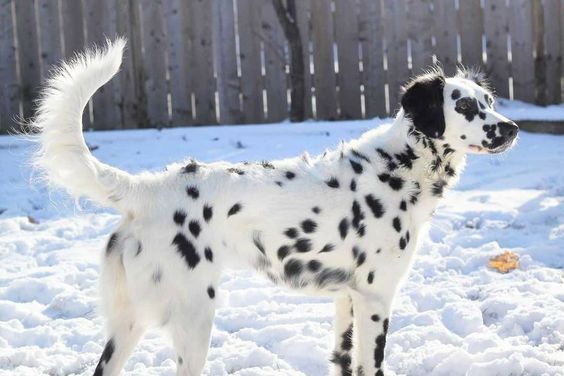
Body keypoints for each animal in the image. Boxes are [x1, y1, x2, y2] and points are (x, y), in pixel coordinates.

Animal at [29, 39, 516, 374]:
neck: (397, 166)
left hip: (129, 324)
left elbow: (343, 361)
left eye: (490, 102)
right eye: (465, 106)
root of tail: (147, 188)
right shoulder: (375, 297)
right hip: (193, 315)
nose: (511, 128)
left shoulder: (347, 299)